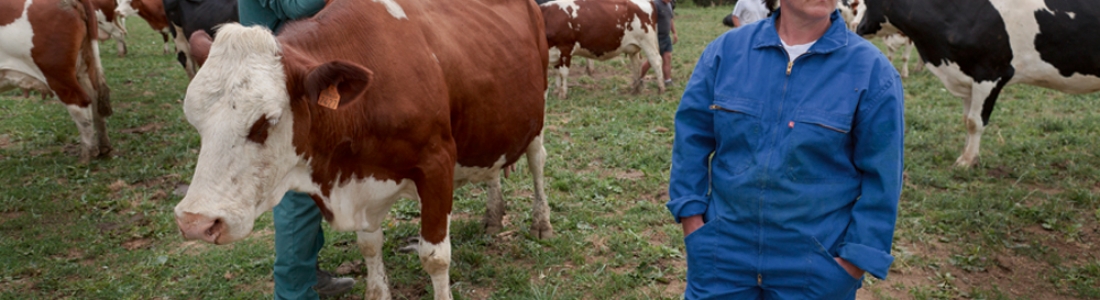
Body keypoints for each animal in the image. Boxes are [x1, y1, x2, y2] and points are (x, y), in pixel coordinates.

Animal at [1, 0, 112, 161]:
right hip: (84, 66)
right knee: (96, 100)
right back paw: (103, 147)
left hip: (57, 74)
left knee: (80, 103)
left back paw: (88, 154)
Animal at [176, 0, 554, 296]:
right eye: (194, 121)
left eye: (265, 121)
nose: (195, 222)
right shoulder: (359, 180)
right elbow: (370, 246)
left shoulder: (437, 163)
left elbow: (435, 257)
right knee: (493, 167)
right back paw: (493, 215)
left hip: (537, 112)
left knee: (538, 161)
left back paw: (541, 223)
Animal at [858, 0, 1100, 167]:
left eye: (865, 1)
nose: (856, 27)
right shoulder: (967, 77)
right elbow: (966, 120)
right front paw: (968, 154)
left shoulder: (991, 73)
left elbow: (975, 122)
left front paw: (967, 161)